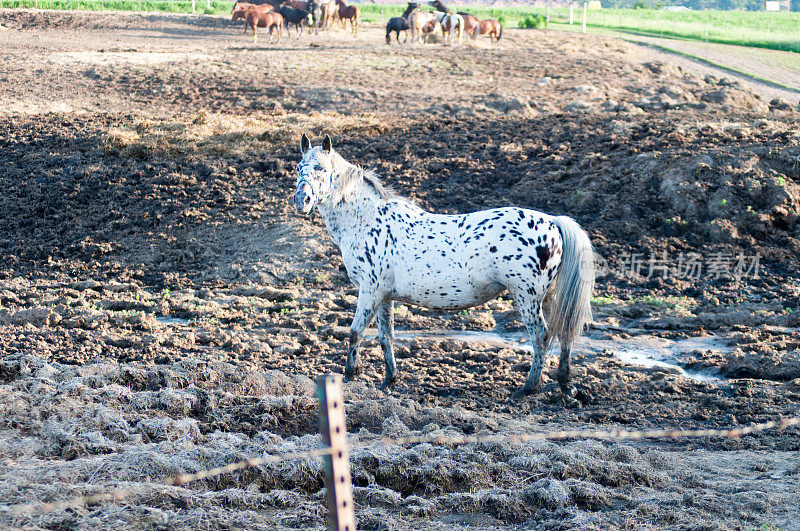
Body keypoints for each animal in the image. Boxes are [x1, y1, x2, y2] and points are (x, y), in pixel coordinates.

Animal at [294, 134, 592, 400]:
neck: (366, 219)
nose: (301, 200)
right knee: (563, 333)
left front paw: (348, 377)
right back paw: (565, 386)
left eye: (320, 168)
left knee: (541, 336)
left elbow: (355, 333)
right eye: (298, 168)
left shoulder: (370, 291)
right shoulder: (384, 296)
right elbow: (386, 337)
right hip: (548, 297)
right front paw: (389, 380)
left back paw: (528, 389)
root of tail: (552, 221)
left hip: (526, 297)